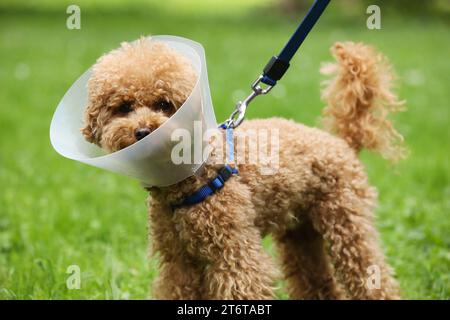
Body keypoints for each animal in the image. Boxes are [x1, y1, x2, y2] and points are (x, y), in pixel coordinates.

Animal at [80, 37, 404, 300]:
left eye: (164, 104)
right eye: (124, 107)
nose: (143, 131)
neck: (193, 174)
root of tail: (341, 142)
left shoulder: (234, 252)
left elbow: (243, 284)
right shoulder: (179, 261)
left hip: (347, 222)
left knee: (370, 274)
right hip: (301, 232)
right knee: (318, 282)